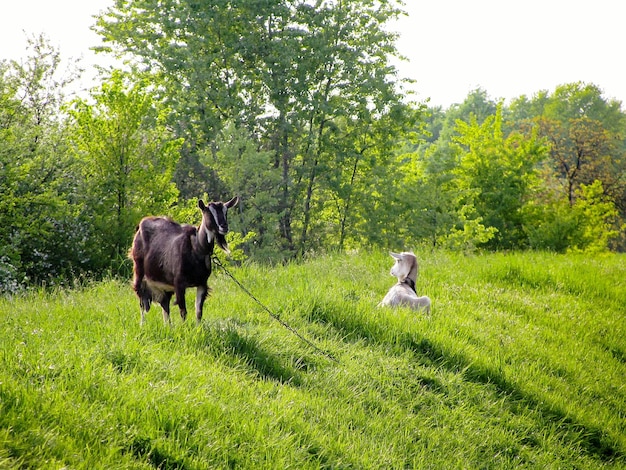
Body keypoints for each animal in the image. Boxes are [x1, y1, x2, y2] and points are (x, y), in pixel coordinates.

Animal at [128, 196, 238, 324]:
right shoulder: (179, 283)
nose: (224, 226)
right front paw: (185, 327)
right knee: (141, 300)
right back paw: (143, 324)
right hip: (139, 272)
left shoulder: (202, 283)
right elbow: (183, 311)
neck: (196, 248)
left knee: (165, 304)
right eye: (209, 213)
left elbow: (198, 312)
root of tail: (140, 225)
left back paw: (168, 326)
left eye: (226, 211)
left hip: (164, 283)